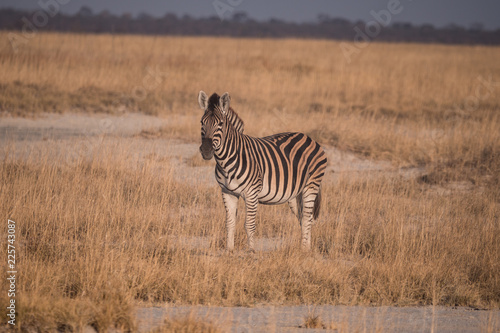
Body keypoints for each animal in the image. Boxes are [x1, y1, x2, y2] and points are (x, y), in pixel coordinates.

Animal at [199, 91, 328, 249]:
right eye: (202, 122)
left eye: (220, 124)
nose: (206, 151)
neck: (226, 161)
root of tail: (308, 138)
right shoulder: (227, 192)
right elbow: (229, 224)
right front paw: (229, 251)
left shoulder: (252, 193)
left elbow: (249, 225)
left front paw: (251, 252)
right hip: (295, 194)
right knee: (304, 218)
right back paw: (307, 249)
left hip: (311, 186)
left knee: (306, 219)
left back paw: (303, 251)